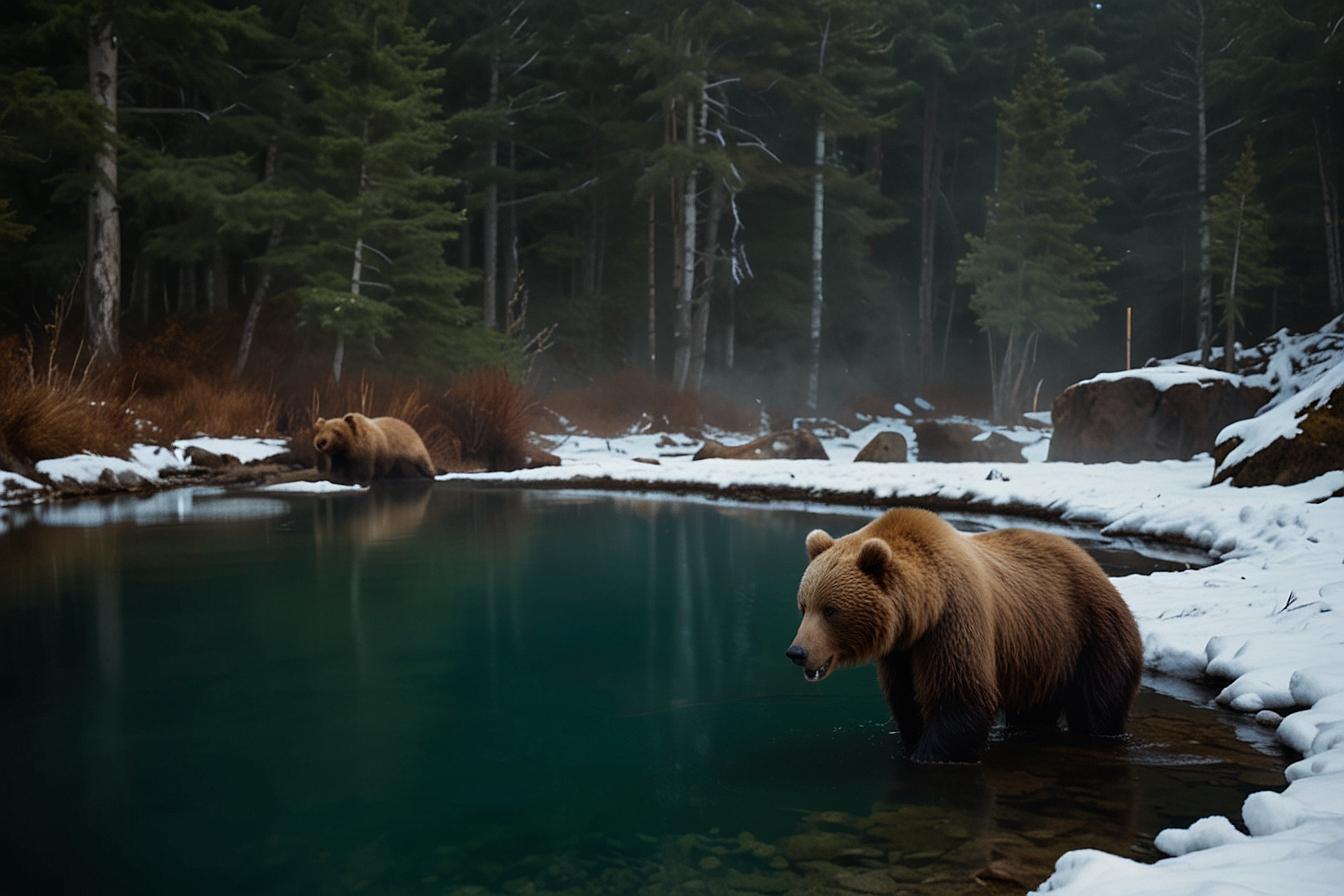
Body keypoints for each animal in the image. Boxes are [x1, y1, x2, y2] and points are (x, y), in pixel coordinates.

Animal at [784, 507, 1145, 763]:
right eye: (804, 606)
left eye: (831, 610)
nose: (797, 652)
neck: (923, 610)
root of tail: (1096, 566)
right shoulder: (901, 653)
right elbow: (907, 701)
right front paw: (913, 742)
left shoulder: (953, 622)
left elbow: (960, 699)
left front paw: (927, 756)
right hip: (1039, 654)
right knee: (1033, 711)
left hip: (1091, 634)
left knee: (1100, 705)